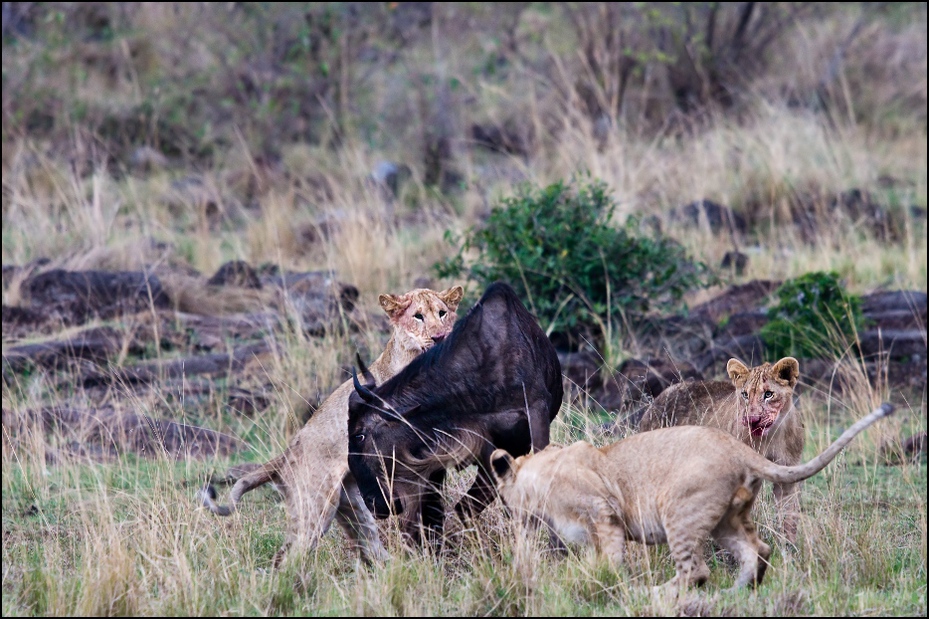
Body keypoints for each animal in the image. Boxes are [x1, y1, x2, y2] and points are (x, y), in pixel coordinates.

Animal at [203, 286, 464, 568]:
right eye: (418, 316)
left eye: (442, 313)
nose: (440, 336)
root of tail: (286, 454)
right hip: (316, 506)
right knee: (291, 557)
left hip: (352, 506)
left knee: (368, 546)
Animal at [492, 404, 892, 588]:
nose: (513, 519)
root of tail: (736, 447)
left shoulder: (606, 515)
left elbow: (609, 565)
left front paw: (609, 588)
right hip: (727, 519)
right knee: (758, 550)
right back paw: (736, 594)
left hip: (678, 510)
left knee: (696, 570)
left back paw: (657, 595)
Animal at [636, 358, 800, 544]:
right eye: (745, 395)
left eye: (768, 394)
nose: (753, 419)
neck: (772, 435)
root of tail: (655, 403)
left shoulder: (788, 472)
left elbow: (789, 514)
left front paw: (789, 546)